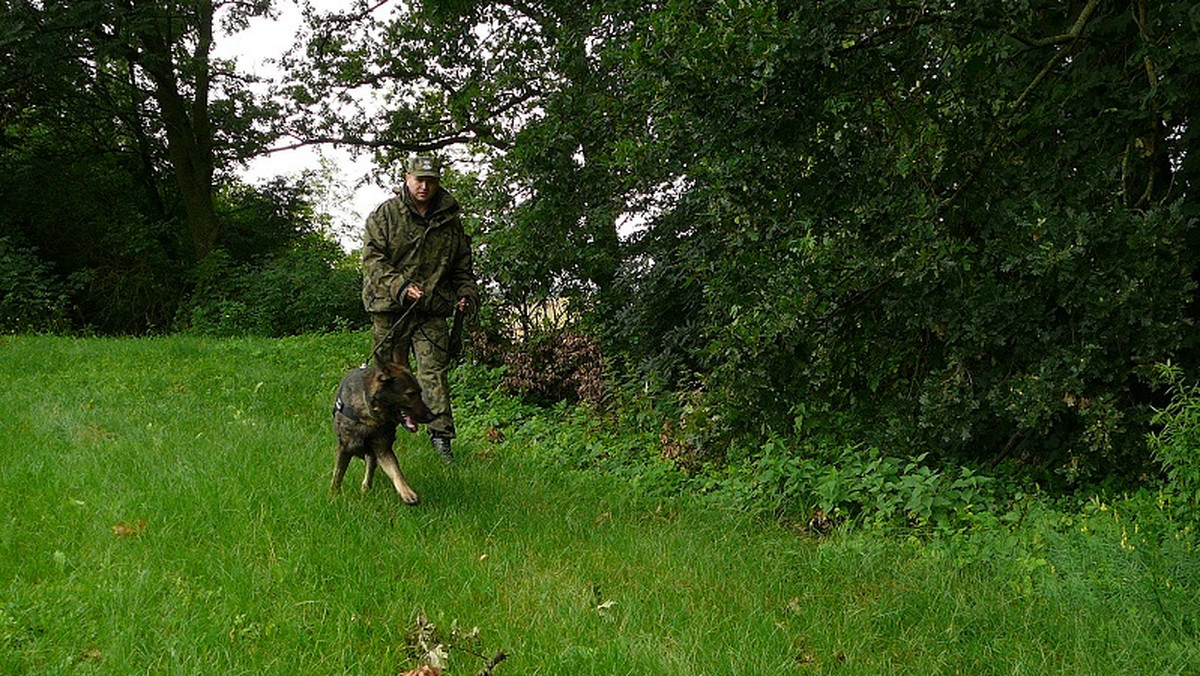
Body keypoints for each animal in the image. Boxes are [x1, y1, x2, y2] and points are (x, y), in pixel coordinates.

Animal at [333, 362, 436, 504]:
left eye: (420, 392)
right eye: (411, 394)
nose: (431, 417)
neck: (370, 416)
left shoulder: (383, 449)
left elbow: (396, 472)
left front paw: (407, 493)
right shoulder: (345, 449)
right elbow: (337, 476)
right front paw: (333, 497)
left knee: (370, 468)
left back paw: (365, 489)